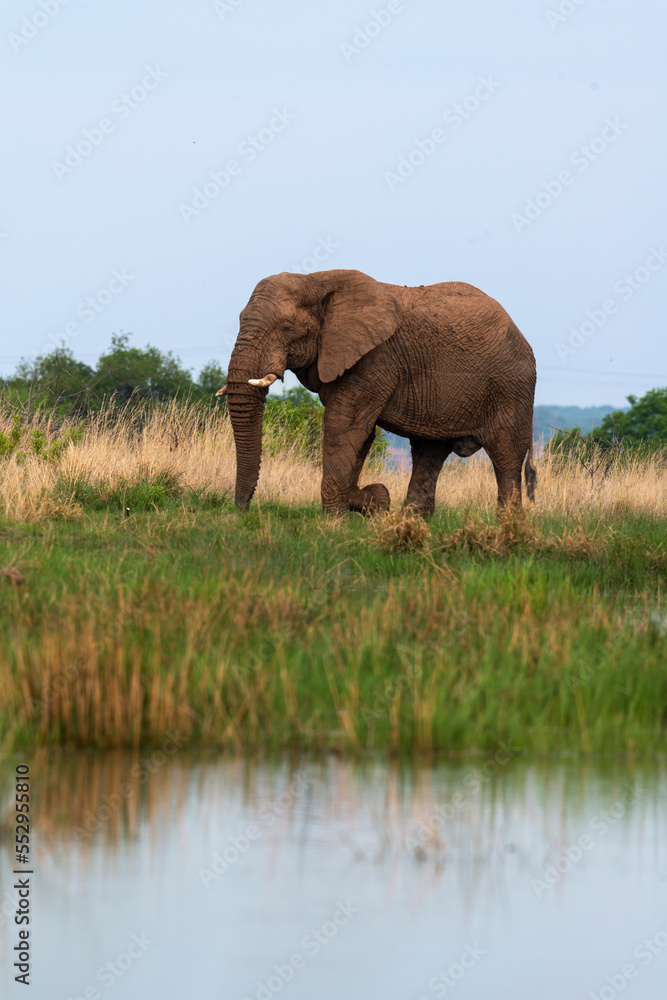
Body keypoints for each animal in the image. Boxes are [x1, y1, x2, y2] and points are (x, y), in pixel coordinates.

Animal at [220, 269, 536, 516]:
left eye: (287, 327)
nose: (243, 512)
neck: (316, 280)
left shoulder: (375, 360)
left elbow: (344, 428)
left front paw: (334, 523)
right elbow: (361, 435)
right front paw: (376, 500)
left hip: (511, 388)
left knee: (506, 457)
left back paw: (507, 527)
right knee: (429, 451)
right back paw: (410, 521)